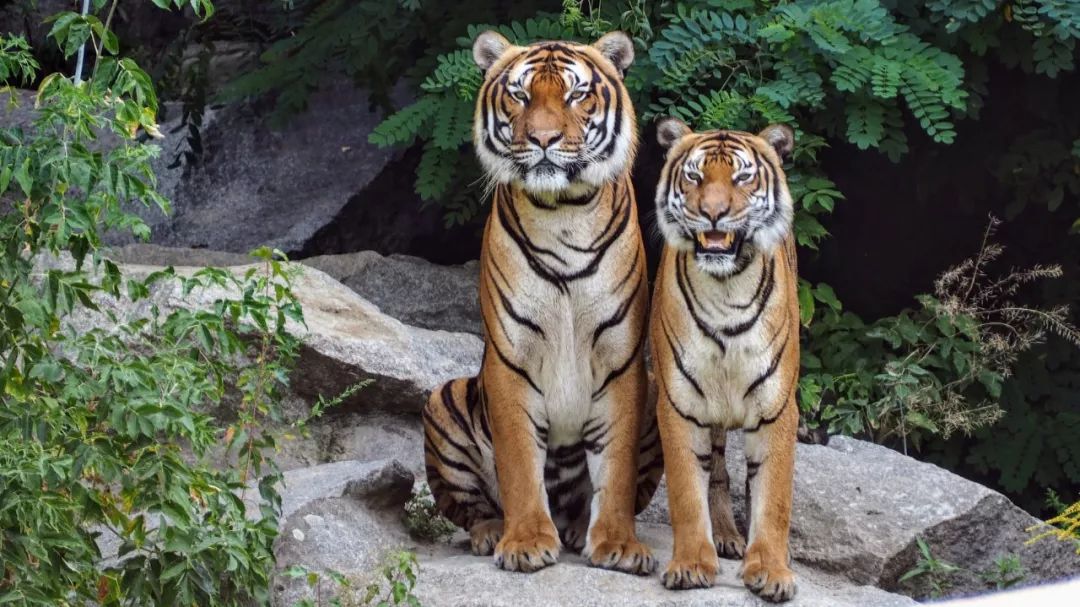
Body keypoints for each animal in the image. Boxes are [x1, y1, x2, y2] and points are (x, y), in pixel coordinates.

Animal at [416, 30, 660, 574]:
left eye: (576, 95)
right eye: (520, 95)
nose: (543, 139)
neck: (563, 211)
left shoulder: (621, 359)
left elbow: (615, 468)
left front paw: (617, 543)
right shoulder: (511, 358)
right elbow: (519, 463)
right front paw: (525, 541)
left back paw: (577, 527)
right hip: (444, 398)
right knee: (471, 507)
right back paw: (492, 531)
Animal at [643, 117, 799, 600]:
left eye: (742, 177)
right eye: (694, 177)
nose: (713, 212)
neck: (726, 288)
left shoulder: (777, 407)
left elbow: (773, 497)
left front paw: (771, 570)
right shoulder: (678, 404)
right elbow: (685, 492)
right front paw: (692, 563)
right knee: (715, 471)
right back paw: (726, 536)